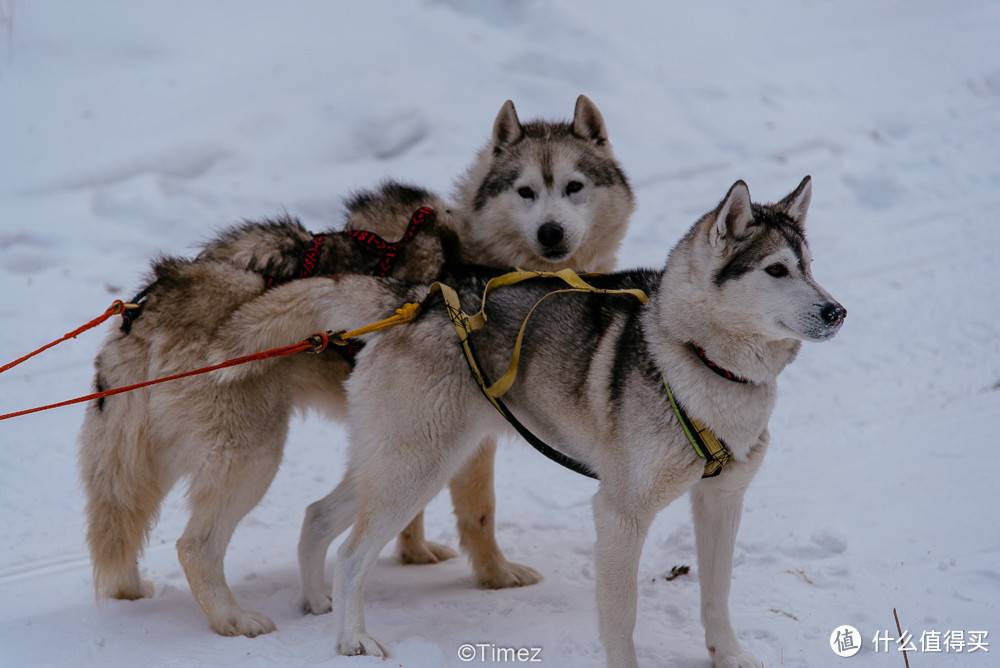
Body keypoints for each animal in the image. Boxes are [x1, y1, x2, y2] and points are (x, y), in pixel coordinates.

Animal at [80, 98, 632, 636]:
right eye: (526, 191)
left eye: (574, 186)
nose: (551, 231)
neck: (485, 252)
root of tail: (156, 298)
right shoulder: (472, 441)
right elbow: (480, 514)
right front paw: (495, 576)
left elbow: (410, 512)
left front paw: (414, 553)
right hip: (252, 456)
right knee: (194, 545)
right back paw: (233, 620)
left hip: (158, 459)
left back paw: (136, 593)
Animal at [246, 175, 840, 664]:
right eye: (776, 269)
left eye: (810, 267)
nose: (838, 312)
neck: (695, 356)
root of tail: (419, 298)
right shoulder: (620, 514)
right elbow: (621, 619)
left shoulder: (721, 501)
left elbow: (717, 595)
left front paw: (729, 657)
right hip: (417, 467)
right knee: (351, 554)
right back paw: (352, 639)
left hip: (406, 460)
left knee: (318, 515)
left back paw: (316, 599)